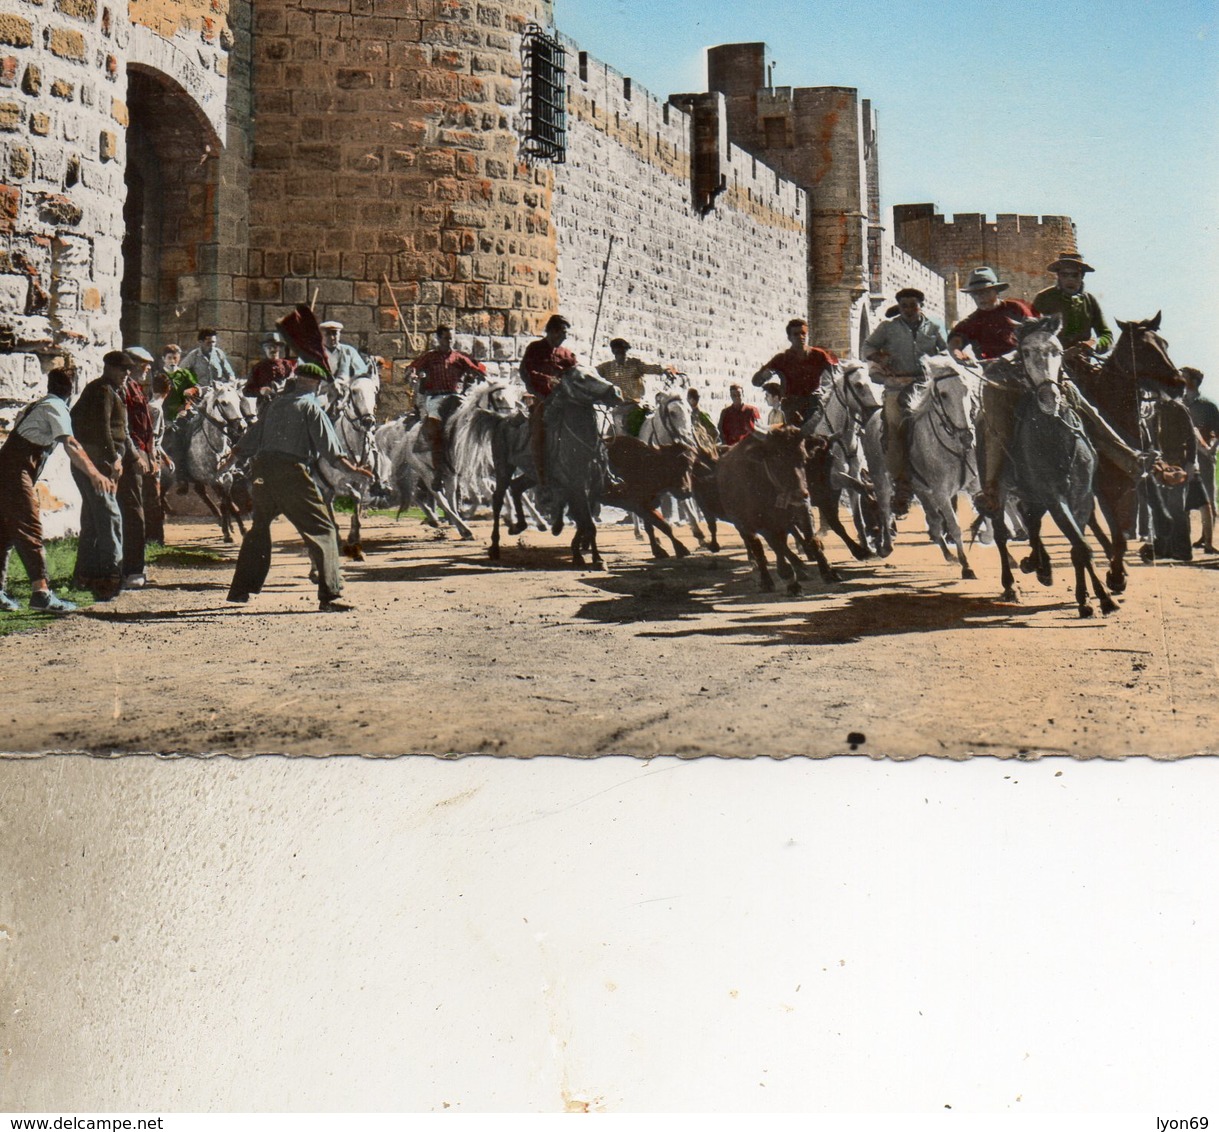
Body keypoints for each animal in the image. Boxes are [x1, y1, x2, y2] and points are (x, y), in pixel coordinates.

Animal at [994, 314, 1116, 619]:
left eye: (1058, 351)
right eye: (1025, 352)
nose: (1050, 397)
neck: (1054, 437)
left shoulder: (1081, 496)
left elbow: (1078, 545)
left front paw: (1091, 597)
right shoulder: (1053, 496)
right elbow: (1081, 546)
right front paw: (1099, 599)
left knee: (1032, 521)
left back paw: (1040, 565)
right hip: (997, 488)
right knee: (1000, 532)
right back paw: (1011, 584)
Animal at [1067, 309, 1179, 592]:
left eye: (1164, 344)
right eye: (1140, 348)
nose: (1179, 383)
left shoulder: (1137, 473)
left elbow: (1145, 519)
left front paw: (1145, 550)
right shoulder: (1101, 485)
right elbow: (1118, 533)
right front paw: (1116, 576)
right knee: (1091, 519)